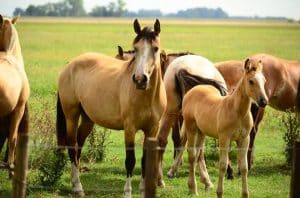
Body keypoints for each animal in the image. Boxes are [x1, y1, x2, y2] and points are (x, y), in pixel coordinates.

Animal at [56, 19, 166, 198]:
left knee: (79, 145)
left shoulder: (152, 129)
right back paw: (77, 188)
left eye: (155, 48)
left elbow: (145, 161)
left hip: (88, 120)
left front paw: (143, 191)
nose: (140, 79)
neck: (146, 96)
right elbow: (130, 161)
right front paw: (128, 192)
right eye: (136, 48)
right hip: (71, 115)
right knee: (72, 146)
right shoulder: (130, 128)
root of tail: (69, 65)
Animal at [155, 54, 227, 187]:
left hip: (170, 111)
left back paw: (159, 180)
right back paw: (206, 180)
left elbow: (183, 140)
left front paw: (172, 170)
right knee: (199, 149)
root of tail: (182, 69)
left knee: (162, 139)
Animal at [176, 58, 268, 197]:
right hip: (191, 128)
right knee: (192, 155)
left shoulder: (244, 139)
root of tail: (193, 90)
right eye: (251, 81)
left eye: (264, 81)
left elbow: (244, 167)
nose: (263, 101)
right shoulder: (224, 138)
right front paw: (219, 193)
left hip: (201, 132)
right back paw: (193, 189)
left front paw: (245, 194)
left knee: (197, 154)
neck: (237, 112)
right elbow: (223, 165)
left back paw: (201, 185)